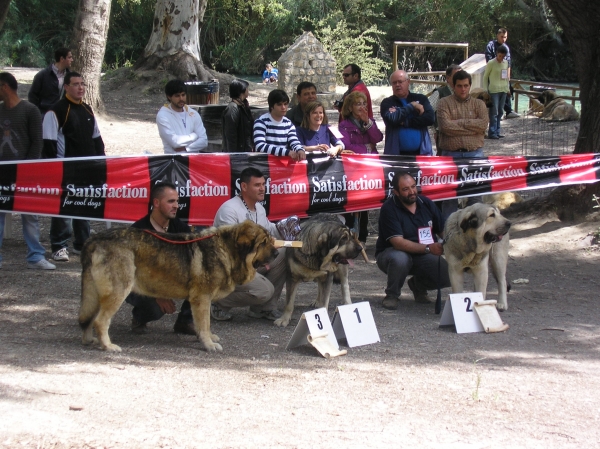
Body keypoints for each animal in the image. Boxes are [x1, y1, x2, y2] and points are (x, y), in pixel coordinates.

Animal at [77, 220, 278, 350]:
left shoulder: (199, 300)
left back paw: (89, 340)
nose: (277, 253)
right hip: (118, 292)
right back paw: (108, 346)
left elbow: (203, 323)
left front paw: (206, 337)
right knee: (100, 321)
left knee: (89, 318)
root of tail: (93, 240)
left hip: (97, 294)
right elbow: (205, 323)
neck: (227, 249)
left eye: (270, 241)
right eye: (263, 243)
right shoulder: (202, 298)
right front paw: (208, 344)